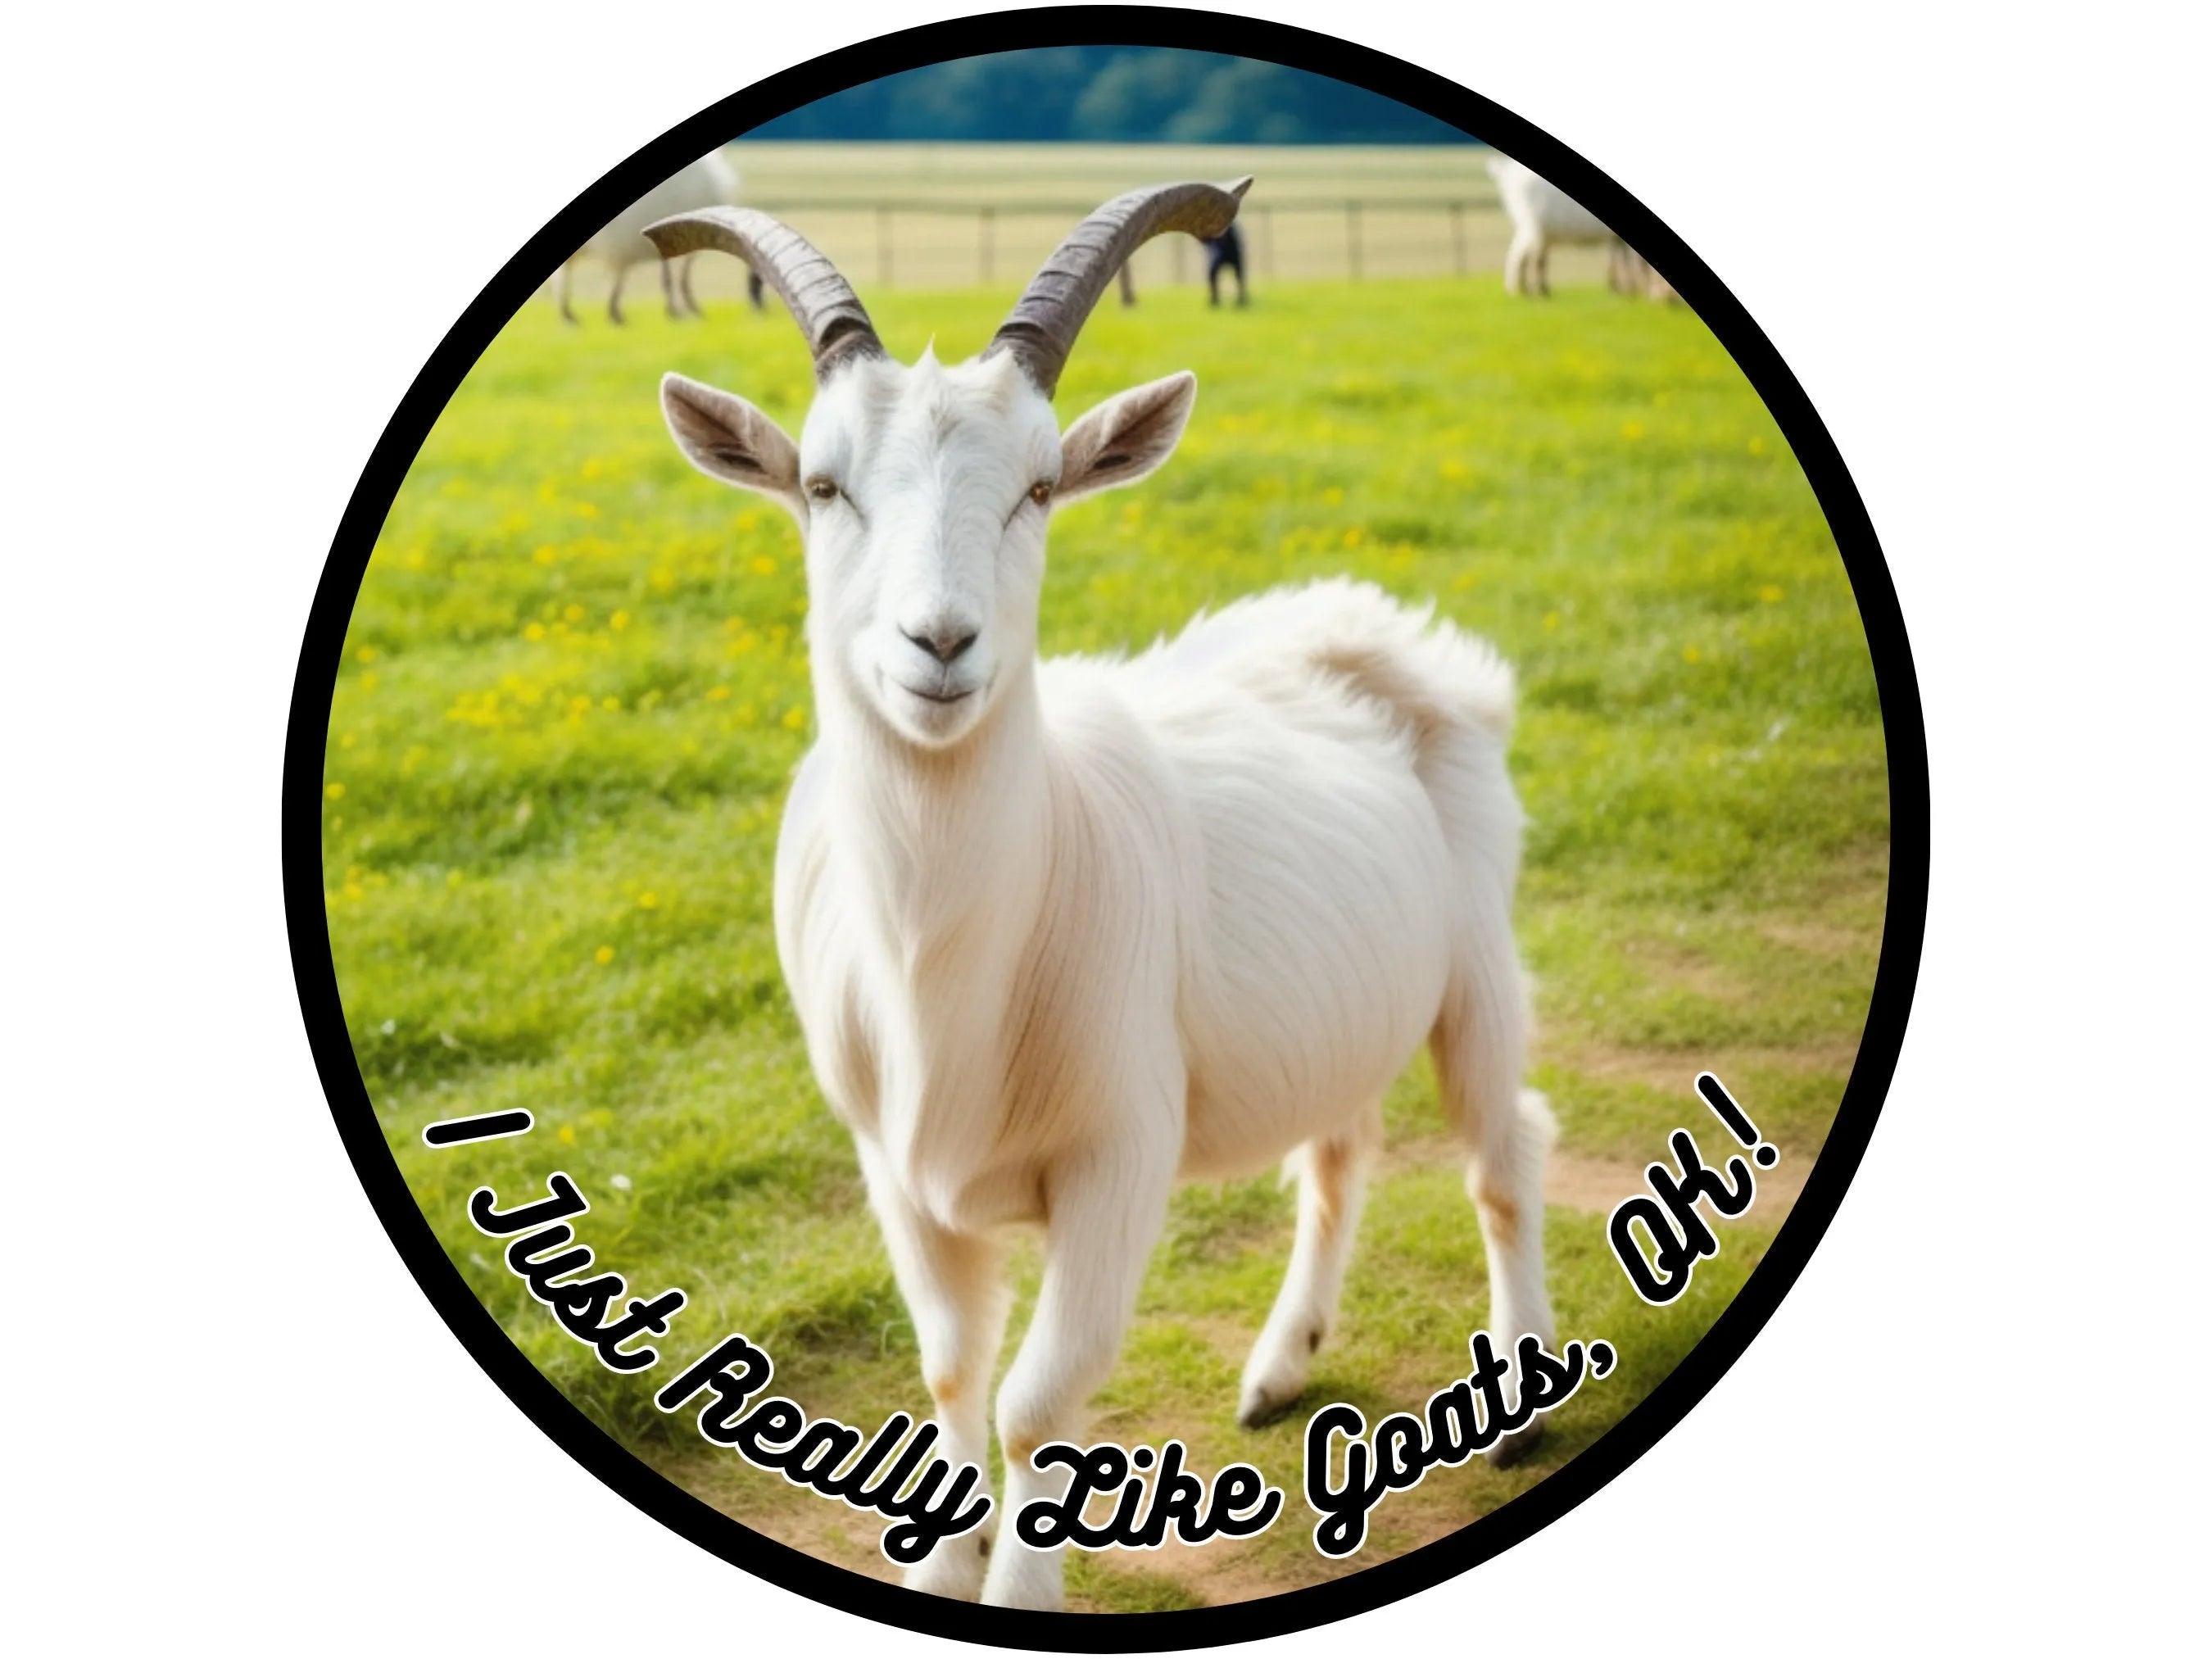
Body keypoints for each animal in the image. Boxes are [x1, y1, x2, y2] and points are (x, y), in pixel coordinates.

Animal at [555, 149, 762, 325]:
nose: (759, 311)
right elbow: (675, 279)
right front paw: (683, 312)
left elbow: (671, 279)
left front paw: (679, 311)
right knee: (570, 275)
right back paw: (584, 315)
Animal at [646, 180, 1555, 1610]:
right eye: (821, 485)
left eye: (1038, 486)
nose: (941, 644)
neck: (954, 963)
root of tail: (1376, 623)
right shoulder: (892, 1168)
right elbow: (954, 1374)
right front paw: (940, 1569)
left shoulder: (1119, 1153)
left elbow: (1033, 1403)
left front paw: (1014, 1590)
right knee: (1339, 1149)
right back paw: (1277, 1367)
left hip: (1474, 964)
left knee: (1505, 1151)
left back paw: (1514, 1399)